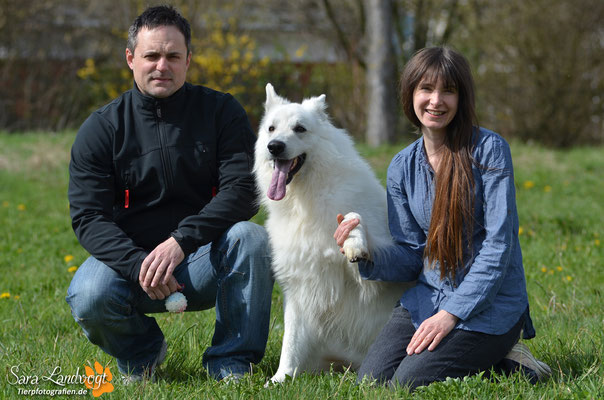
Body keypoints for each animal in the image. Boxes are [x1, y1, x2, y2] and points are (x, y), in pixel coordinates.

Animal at [255, 83, 410, 382]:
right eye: (271, 128)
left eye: (300, 129)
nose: (274, 146)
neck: (305, 200)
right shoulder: (299, 285)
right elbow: (290, 341)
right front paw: (280, 379)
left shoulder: (372, 278)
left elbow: (353, 218)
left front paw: (354, 243)